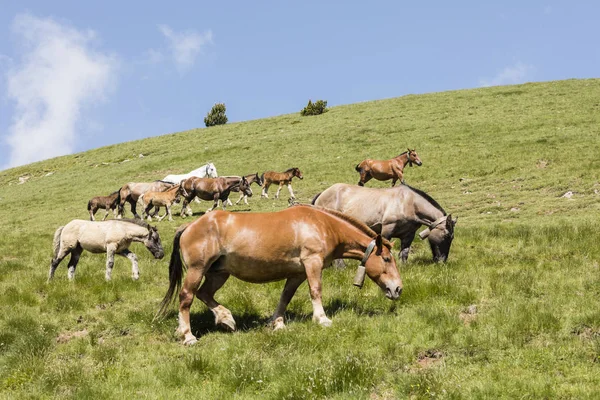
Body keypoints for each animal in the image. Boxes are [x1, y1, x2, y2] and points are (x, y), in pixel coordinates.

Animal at [156, 205, 404, 346]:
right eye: (387, 259)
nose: (397, 288)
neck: (323, 225)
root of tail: (189, 226)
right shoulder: (312, 263)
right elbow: (316, 291)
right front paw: (322, 319)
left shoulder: (297, 274)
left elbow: (285, 298)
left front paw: (276, 323)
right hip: (198, 270)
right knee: (186, 297)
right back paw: (188, 335)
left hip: (219, 273)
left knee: (204, 294)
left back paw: (225, 318)